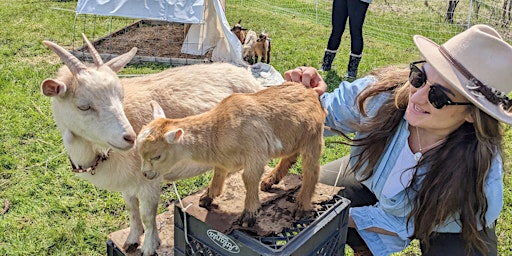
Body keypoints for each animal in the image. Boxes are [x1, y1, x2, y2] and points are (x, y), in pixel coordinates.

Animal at [40, 34, 262, 256]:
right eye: (84, 106)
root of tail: (244, 72)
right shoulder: (127, 184)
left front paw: (148, 246)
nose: (130, 137)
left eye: (121, 97)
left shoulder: (148, 180)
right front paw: (131, 240)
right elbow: (132, 210)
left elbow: (147, 215)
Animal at [136, 81, 326, 226]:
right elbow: (218, 174)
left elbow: (248, 178)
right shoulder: (223, 160)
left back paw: (301, 206)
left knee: (311, 171)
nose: (145, 174)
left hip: (313, 137)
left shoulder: (255, 153)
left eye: (157, 156)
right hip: (293, 138)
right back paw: (270, 180)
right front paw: (207, 197)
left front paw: (249, 214)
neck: (219, 128)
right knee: (290, 157)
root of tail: (310, 92)